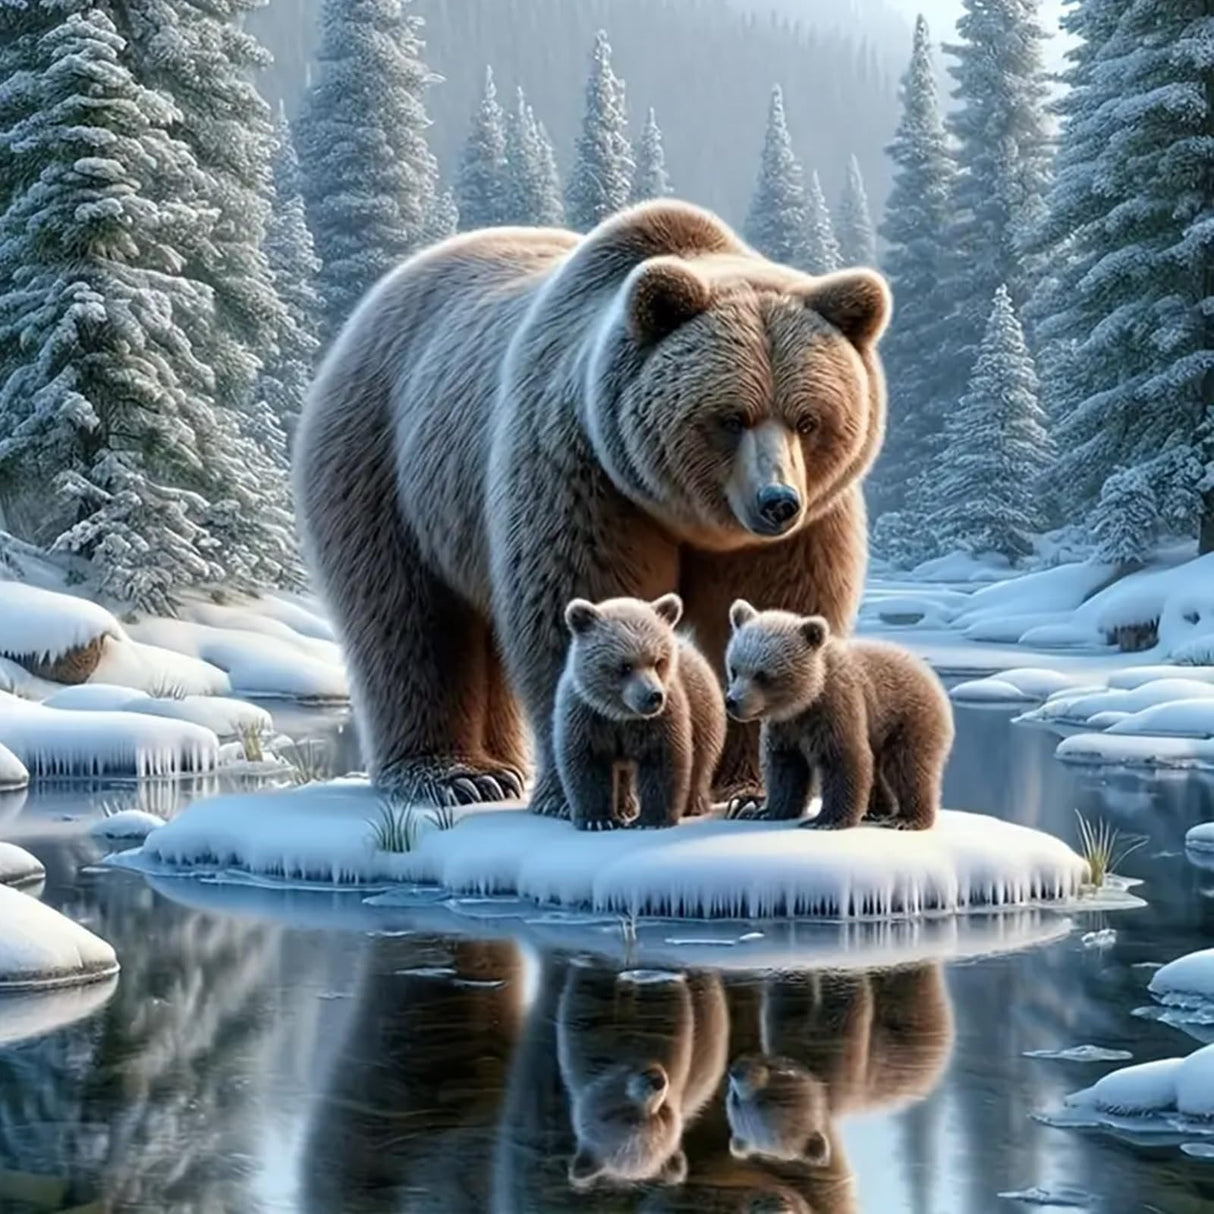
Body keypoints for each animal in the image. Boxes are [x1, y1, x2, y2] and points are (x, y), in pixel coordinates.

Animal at [555, 593, 726, 830]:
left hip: (702, 709)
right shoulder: (587, 715)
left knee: (700, 760)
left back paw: (692, 804)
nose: (653, 696)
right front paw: (597, 820)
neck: (620, 714)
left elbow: (661, 760)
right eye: (625, 665)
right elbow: (586, 764)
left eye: (658, 661)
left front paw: (651, 820)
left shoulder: (660, 719)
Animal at [723, 602, 954, 830]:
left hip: (908, 717)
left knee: (907, 766)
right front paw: (766, 811)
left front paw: (825, 820)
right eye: (734, 669)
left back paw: (907, 818)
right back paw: (877, 811)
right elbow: (785, 766)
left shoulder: (835, 708)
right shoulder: (784, 727)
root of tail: (929, 674)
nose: (732, 701)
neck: (804, 701)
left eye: (762, 675)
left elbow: (843, 758)